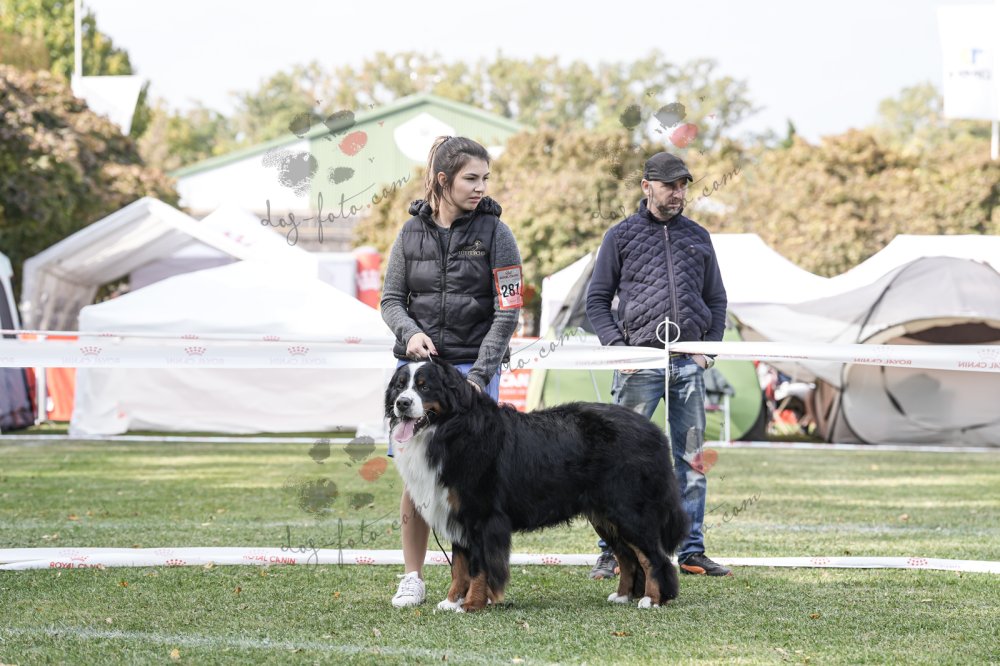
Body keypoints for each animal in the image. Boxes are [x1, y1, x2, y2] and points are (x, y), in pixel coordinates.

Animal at [385, 358, 687, 612]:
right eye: (400, 386)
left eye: (424, 386)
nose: (402, 403)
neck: (450, 430)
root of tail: (653, 430)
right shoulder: (457, 513)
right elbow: (459, 566)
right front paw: (451, 602)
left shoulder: (480, 516)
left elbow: (478, 566)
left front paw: (471, 604)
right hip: (606, 516)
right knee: (627, 557)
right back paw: (623, 595)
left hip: (629, 511)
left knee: (654, 558)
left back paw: (653, 599)